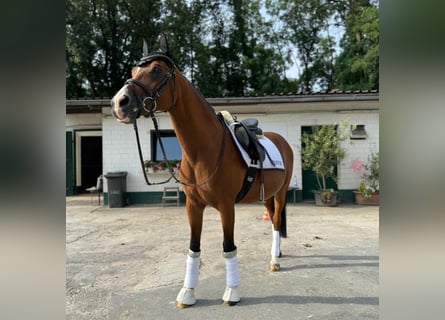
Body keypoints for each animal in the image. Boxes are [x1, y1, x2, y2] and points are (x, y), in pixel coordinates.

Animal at [109, 35, 294, 308]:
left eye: (157, 69)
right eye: (133, 70)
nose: (119, 103)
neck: (205, 151)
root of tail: (282, 140)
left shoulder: (226, 206)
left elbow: (228, 247)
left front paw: (232, 292)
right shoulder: (193, 206)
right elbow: (193, 248)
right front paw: (187, 293)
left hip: (280, 194)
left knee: (277, 221)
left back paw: (274, 261)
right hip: (268, 196)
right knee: (273, 221)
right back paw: (276, 254)